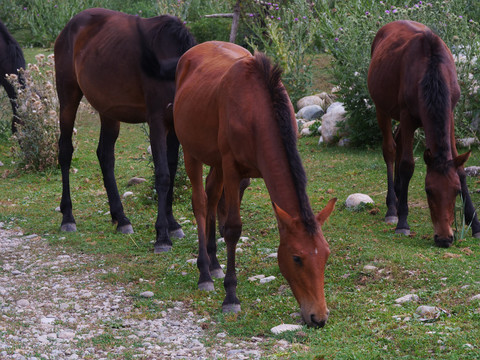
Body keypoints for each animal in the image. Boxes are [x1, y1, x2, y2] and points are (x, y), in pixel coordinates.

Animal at [55, 7, 197, 250]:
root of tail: (69, 27)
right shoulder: (157, 123)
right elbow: (162, 175)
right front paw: (162, 235)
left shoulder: (173, 127)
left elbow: (171, 170)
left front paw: (173, 224)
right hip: (68, 97)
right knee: (65, 151)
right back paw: (68, 217)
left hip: (108, 112)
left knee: (105, 155)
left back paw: (121, 218)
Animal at [174, 40, 336, 328]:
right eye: (297, 258)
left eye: (326, 255)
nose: (318, 317)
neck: (255, 111)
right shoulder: (230, 167)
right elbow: (232, 229)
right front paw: (231, 297)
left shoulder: (237, 171)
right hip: (191, 151)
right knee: (201, 203)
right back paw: (205, 271)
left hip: (215, 161)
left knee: (212, 194)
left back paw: (214, 263)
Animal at [370, 20, 478, 248]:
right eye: (428, 190)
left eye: (456, 191)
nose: (444, 238)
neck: (432, 71)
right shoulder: (407, 115)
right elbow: (407, 165)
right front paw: (402, 222)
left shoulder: (450, 113)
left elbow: (460, 168)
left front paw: (475, 224)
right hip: (381, 108)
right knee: (390, 149)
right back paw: (392, 207)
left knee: (398, 141)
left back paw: (398, 192)